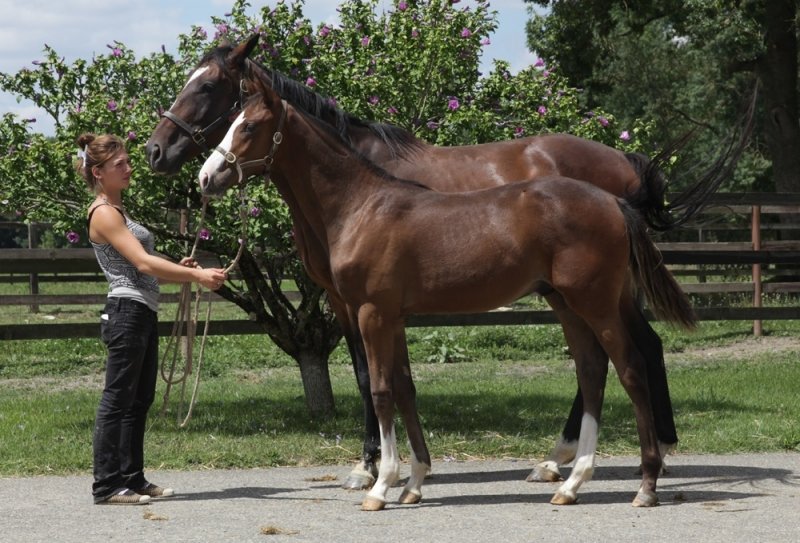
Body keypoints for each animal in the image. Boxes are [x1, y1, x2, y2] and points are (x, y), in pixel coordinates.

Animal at [145, 35, 745, 489]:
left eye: (207, 87)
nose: (157, 152)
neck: (358, 187)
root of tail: (621, 166)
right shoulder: (358, 304)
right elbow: (384, 379)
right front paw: (391, 468)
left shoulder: (356, 302)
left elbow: (369, 378)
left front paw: (374, 469)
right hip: (575, 294)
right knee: (612, 357)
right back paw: (581, 459)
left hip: (593, 293)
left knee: (632, 353)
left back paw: (613, 457)